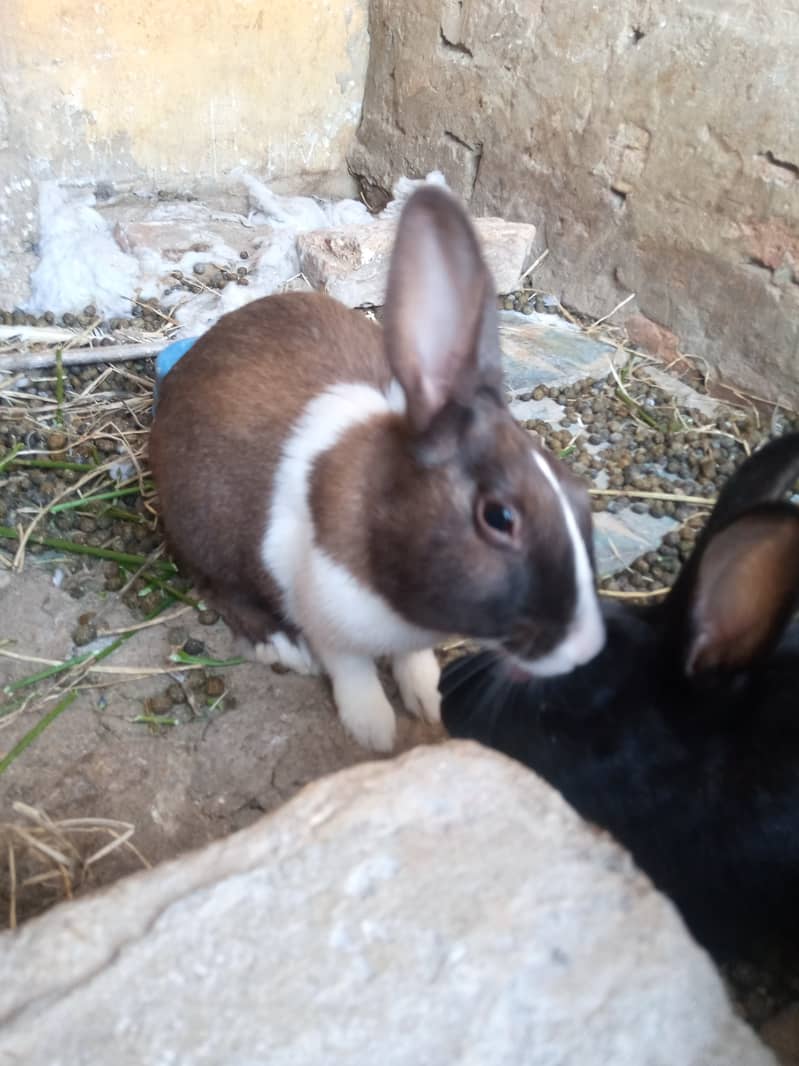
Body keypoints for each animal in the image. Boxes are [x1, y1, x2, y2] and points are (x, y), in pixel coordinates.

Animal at [149, 185, 605, 754]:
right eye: (499, 518)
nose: (585, 648)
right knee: (219, 588)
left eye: (579, 493)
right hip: (205, 529)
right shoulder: (324, 615)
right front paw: (374, 730)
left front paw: (428, 700)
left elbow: (411, 660)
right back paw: (281, 646)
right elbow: (353, 670)